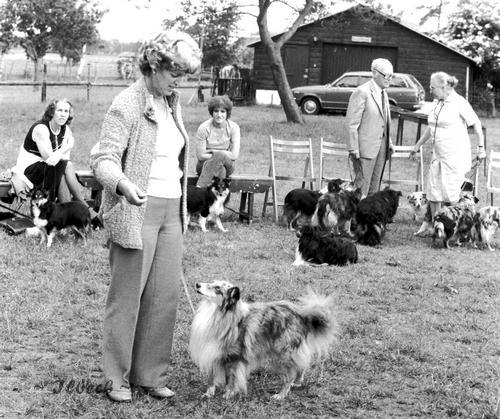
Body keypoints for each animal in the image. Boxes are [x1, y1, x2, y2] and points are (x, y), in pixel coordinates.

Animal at [189, 280, 339, 400]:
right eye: (212, 283)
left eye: (217, 288)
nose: (197, 284)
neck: (220, 314)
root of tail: (302, 315)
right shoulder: (211, 352)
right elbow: (211, 378)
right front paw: (208, 393)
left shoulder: (233, 359)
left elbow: (230, 380)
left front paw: (228, 394)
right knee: (301, 366)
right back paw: (297, 382)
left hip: (283, 355)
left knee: (289, 376)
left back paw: (281, 395)